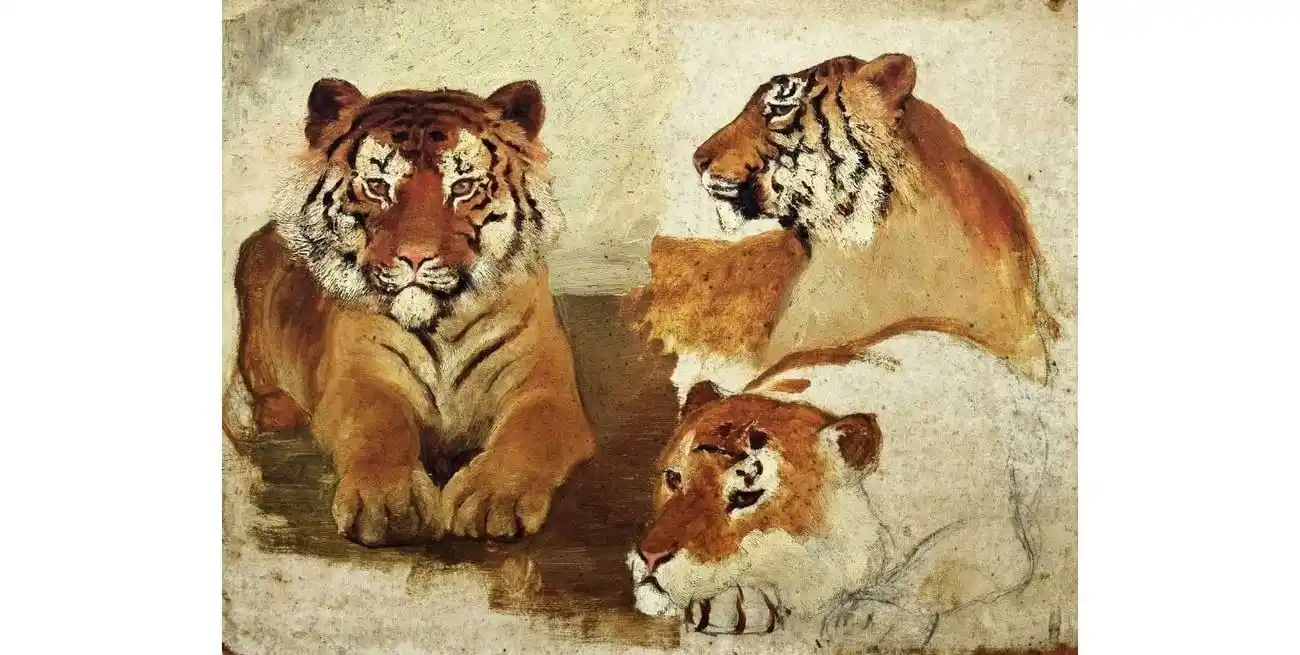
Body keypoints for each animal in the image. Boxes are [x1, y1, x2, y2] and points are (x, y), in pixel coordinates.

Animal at [222, 78, 595, 546]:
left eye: (463, 186)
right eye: (378, 186)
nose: (415, 257)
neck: (444, 324)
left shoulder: (545, 389)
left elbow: (530, 435)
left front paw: (492, 499)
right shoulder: (362, 378)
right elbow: (379, 428)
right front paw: (388, 503)